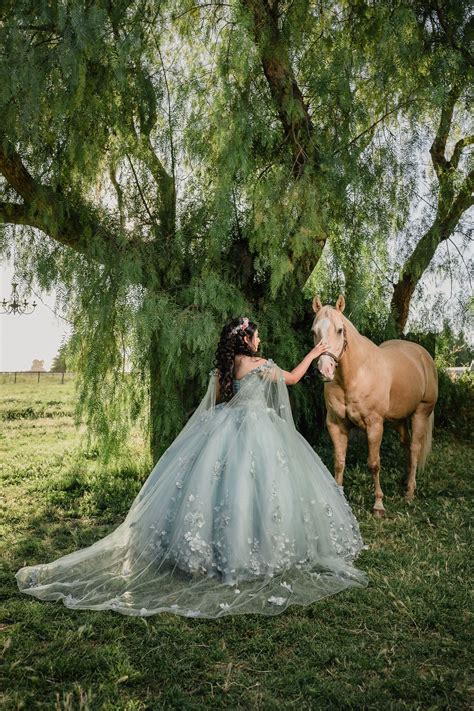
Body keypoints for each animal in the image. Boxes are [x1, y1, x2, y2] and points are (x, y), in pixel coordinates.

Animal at [312, 296, 436, 516]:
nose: (324, 370)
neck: (355, 374)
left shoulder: (375, 425)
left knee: (415, 448)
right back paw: (405, 481)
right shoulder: (336, 424)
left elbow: (374, 464)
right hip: (398, 419)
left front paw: (378, 505)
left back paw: (410, 492)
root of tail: (423, 356)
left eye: (339, 330)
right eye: (313, 331)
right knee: (406, 445)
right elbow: (339, 462)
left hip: (421, 412)